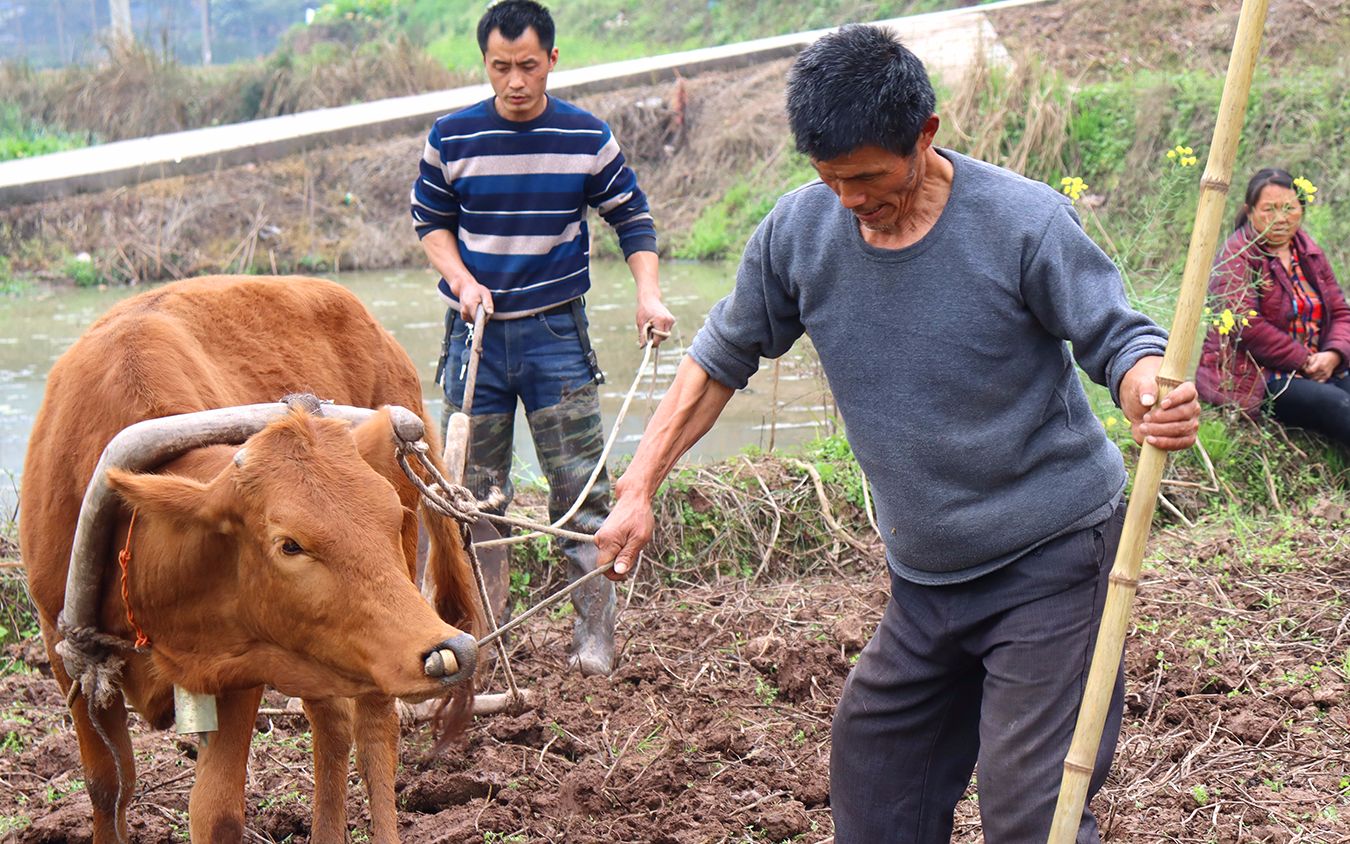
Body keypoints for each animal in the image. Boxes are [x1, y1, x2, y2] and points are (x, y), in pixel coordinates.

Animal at [21, 272, 486, 837]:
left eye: (389, 515)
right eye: (290, 544)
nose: (453, 649)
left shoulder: (240, 664)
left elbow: (216, 809)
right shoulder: (65, 650)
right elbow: (108, 786)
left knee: (376, 728)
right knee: (332, 723)